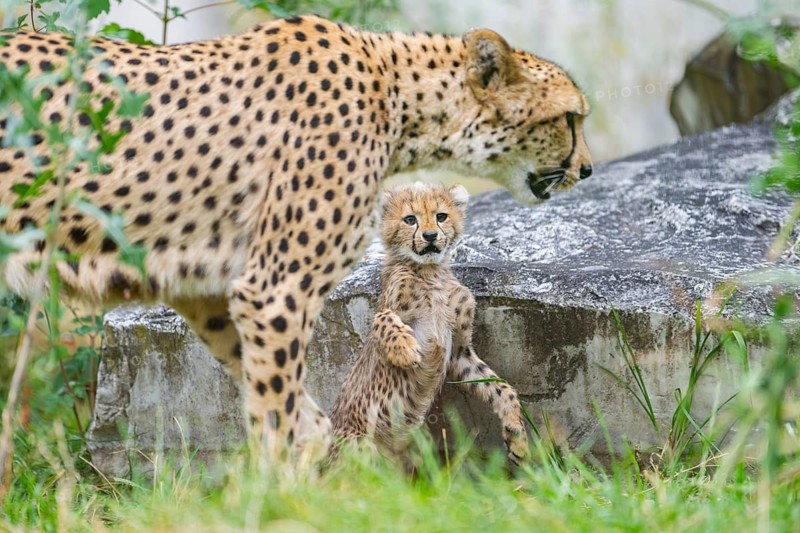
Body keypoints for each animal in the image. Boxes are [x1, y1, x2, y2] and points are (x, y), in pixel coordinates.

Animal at [330, 182, 529, 466]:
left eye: (441, 216)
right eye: (410, 219)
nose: (431, 235)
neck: (429, 272)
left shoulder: (459, 352)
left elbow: (499, 385)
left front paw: (517, 435)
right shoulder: (387, 310)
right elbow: (382, 319)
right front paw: (404, 350)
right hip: (358, 446)